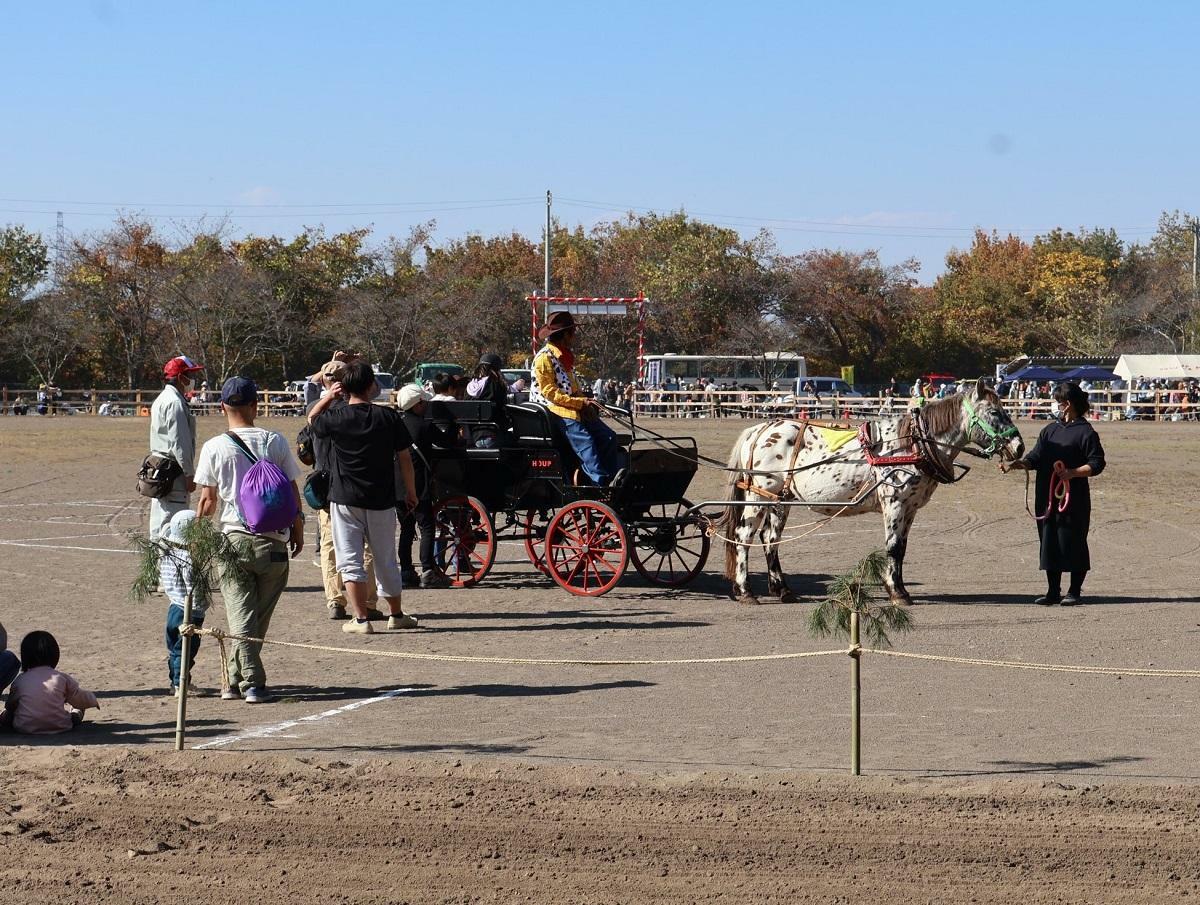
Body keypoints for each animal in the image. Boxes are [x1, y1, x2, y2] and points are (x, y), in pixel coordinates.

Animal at [715, 376, 1027, 602]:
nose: (1019, 447)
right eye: (995, 411)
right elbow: (892, 546)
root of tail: (758, 431)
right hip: (758, 497)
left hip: (781, 499)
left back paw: (783, 590)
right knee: (744, 536)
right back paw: (745, 591)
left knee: (770, 539)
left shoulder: (910, 508)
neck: (912, 444)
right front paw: (896, 592)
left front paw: (900, 588)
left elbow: (901, 549)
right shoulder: (895, 503)